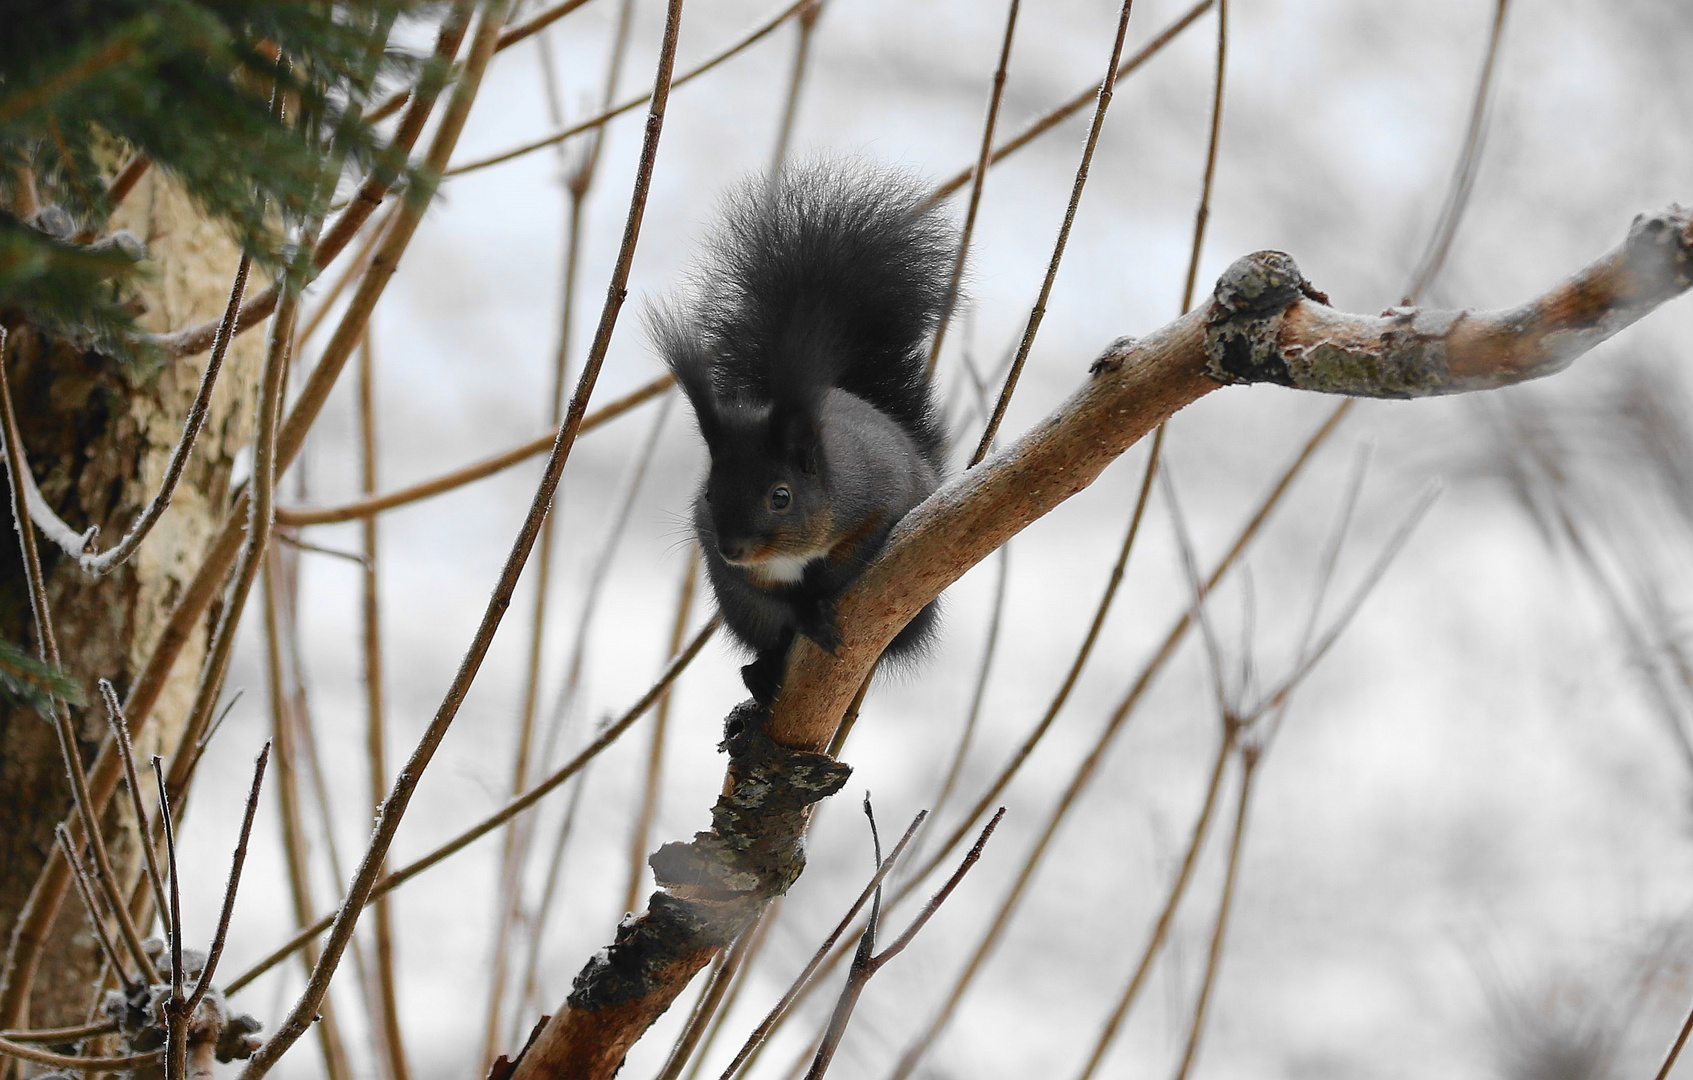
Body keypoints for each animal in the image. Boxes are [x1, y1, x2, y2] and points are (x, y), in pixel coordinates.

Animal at [653, 159, 961, 704]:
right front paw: (800, 610)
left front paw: (818, 597)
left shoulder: (878, 498)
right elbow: (764, 589)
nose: (733, 548)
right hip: (743, 612)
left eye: (782, 496)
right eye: (709, 493)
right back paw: (761, 672)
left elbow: (854, 556)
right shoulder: (723, 558)